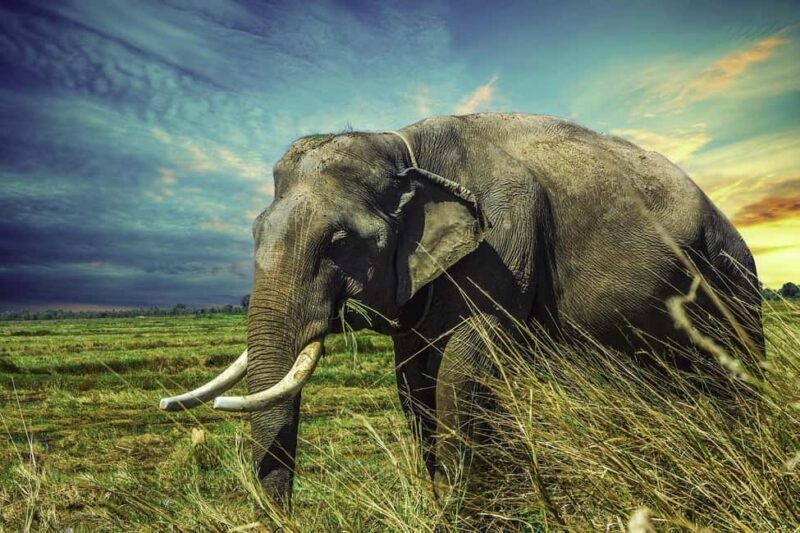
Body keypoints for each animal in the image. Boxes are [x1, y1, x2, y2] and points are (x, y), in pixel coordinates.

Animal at [160, 112, 764, 511]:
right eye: (254, 232)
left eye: (338, 241)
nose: (285, 518)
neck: (402, 144)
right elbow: (412, 381)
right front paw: (441, 503)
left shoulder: (503, 243)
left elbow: (463, 367)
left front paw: (461, 508)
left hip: (733, 277)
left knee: (734, 372)